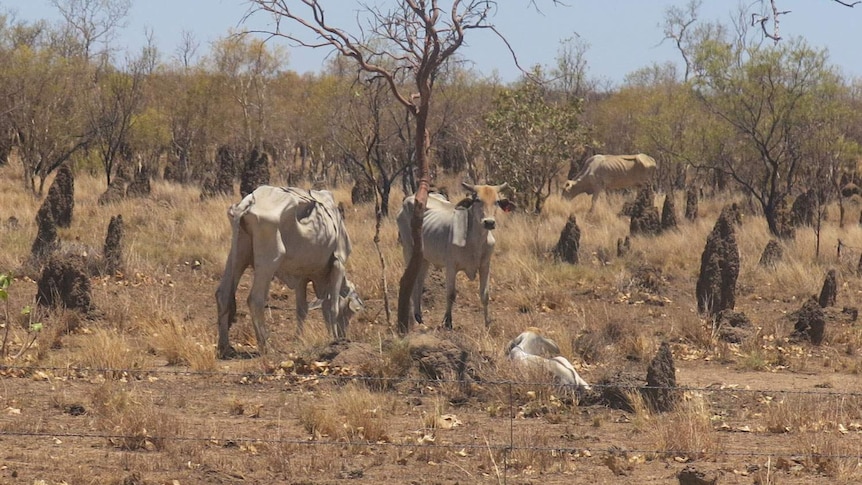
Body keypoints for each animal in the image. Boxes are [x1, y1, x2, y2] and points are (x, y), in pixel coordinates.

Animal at [219, 183, 364, 358]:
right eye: (350, 313)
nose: (344, 335)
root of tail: (248, 203)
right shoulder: (338, 264)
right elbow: (332, 307)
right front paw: (334, 340)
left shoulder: (301, 277)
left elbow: (302, 310)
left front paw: (298, 340)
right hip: (270, 260)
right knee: (255, 299)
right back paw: (266, 346)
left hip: (239, 253)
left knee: (223, 294)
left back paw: (225, 346)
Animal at [396, 182, 516, 328]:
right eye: (477, 200)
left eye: (497, 201)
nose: (489, 222)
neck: (474, 241)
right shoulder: (451, 266)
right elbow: (451, 294)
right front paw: (448, 321)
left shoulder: (485, 266)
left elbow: (485, 294)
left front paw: (487, 323)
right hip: (408, 250)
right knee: (412, 281)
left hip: (424, 258)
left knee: (420, 280)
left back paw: (419, 316)